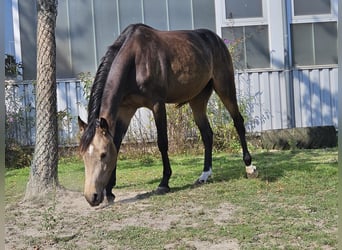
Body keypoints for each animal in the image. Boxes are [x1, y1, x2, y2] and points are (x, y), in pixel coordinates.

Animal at [79, 23, 258, 207]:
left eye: (103, 154)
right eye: (83, 155)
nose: (92, 197)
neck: (135, 60)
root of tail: (216, 39)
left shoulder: (157, 105)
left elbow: (162, 143)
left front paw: (164, 183)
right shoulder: (125, 110)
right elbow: (116, 143)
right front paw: (110, 191)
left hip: (224, 86)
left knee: (238, 122)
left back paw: (249, 166)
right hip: (197, 99)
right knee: (207, 134)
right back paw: (204, 175)